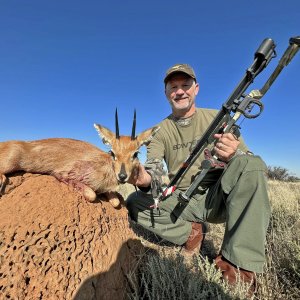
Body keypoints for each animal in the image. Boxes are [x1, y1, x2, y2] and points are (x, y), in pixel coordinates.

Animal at [0, 110, 159, 209]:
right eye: (112, 152)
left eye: (136, 154)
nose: (122, 175)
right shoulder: (63, 174)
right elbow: (91, 194)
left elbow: (115, 202)